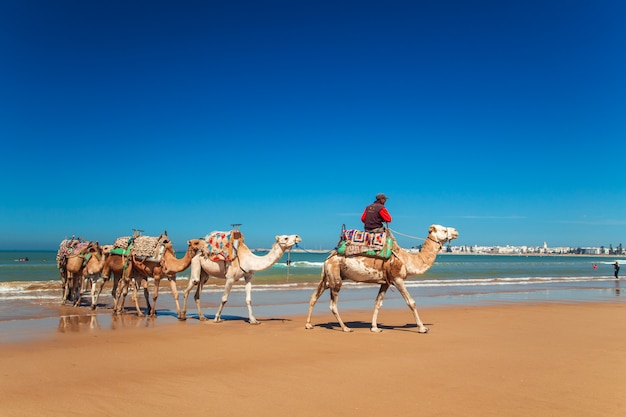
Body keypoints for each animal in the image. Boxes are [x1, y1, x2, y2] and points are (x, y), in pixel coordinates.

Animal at [304, 223, 456, 334]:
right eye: (444, 230)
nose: (455, 231)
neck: (407, 260)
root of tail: (328, 258)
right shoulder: (397, 279)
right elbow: (411, 302)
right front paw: (423, 328)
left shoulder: (386, 283)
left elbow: (378, 303)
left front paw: (375, 327)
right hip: (335, 277)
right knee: (333, 304)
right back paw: (345, 328)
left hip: (328, 277)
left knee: (314, 296)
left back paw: (308, 324)